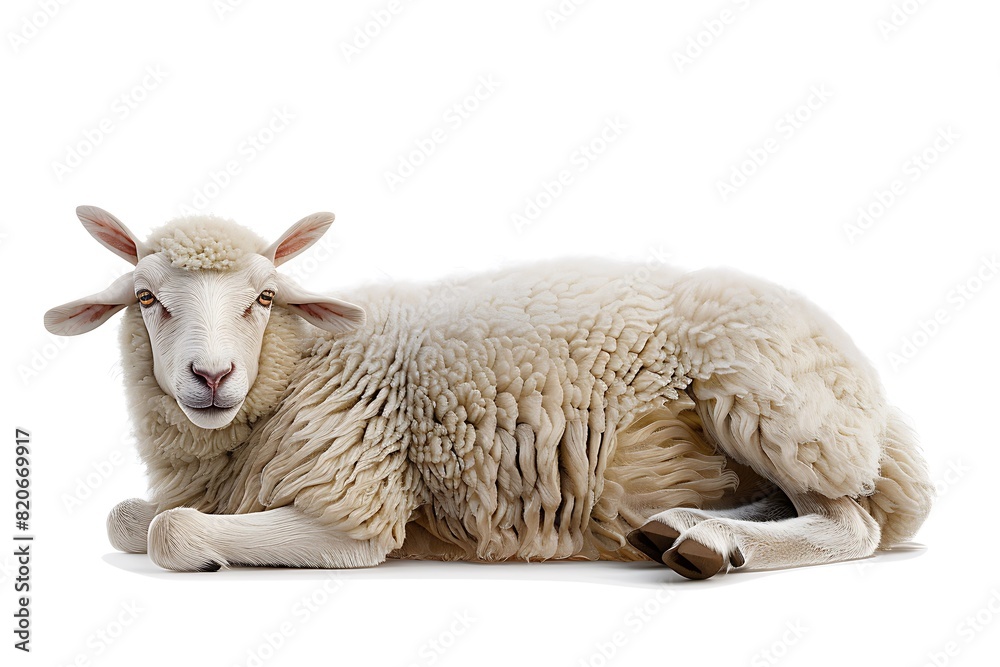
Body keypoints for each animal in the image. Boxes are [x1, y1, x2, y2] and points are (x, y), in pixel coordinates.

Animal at [44, 206, 933, 579]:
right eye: (146, 299)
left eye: (264, 298)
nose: (212, 377)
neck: (304, 365)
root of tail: (876, 398)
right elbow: (126, 518)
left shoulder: (357, 508)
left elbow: (172, 531)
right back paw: (676, 526)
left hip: (773, 402)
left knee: (852, 521)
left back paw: (712, 545)